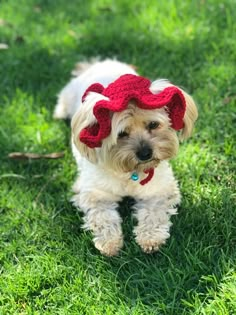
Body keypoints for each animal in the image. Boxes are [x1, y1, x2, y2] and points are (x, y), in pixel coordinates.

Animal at [54, 58, 197, 256]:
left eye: (153, 124)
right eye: (122, 134)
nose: (145, 154)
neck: (130, 172)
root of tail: (100, 63)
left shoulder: (159, 191)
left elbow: (154, 213)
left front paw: (150, 237)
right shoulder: (94, 193)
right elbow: (103, 217)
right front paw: (109, 242)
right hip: (68, 97)